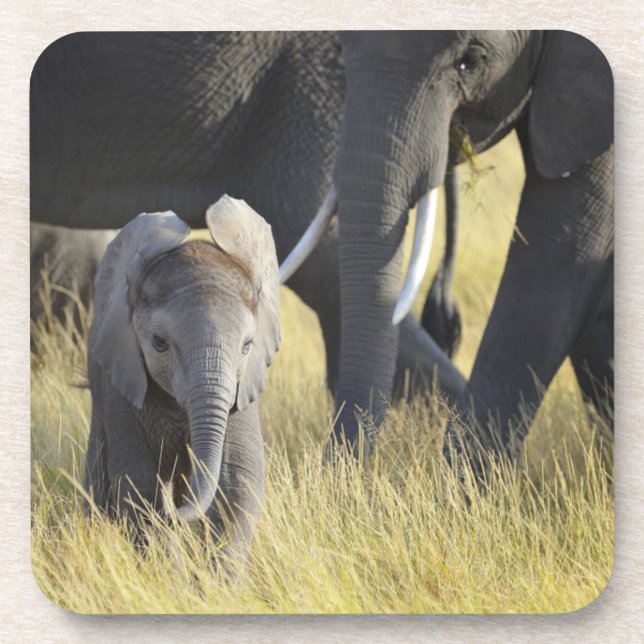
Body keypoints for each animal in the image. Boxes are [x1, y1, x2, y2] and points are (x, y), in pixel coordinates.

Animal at [84, 195, 280, 565]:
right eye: (159, 343)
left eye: (247, 346)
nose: (176, 509)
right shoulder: (121, 381)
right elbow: (139, 485)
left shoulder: (241, 389)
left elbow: (238, 480)